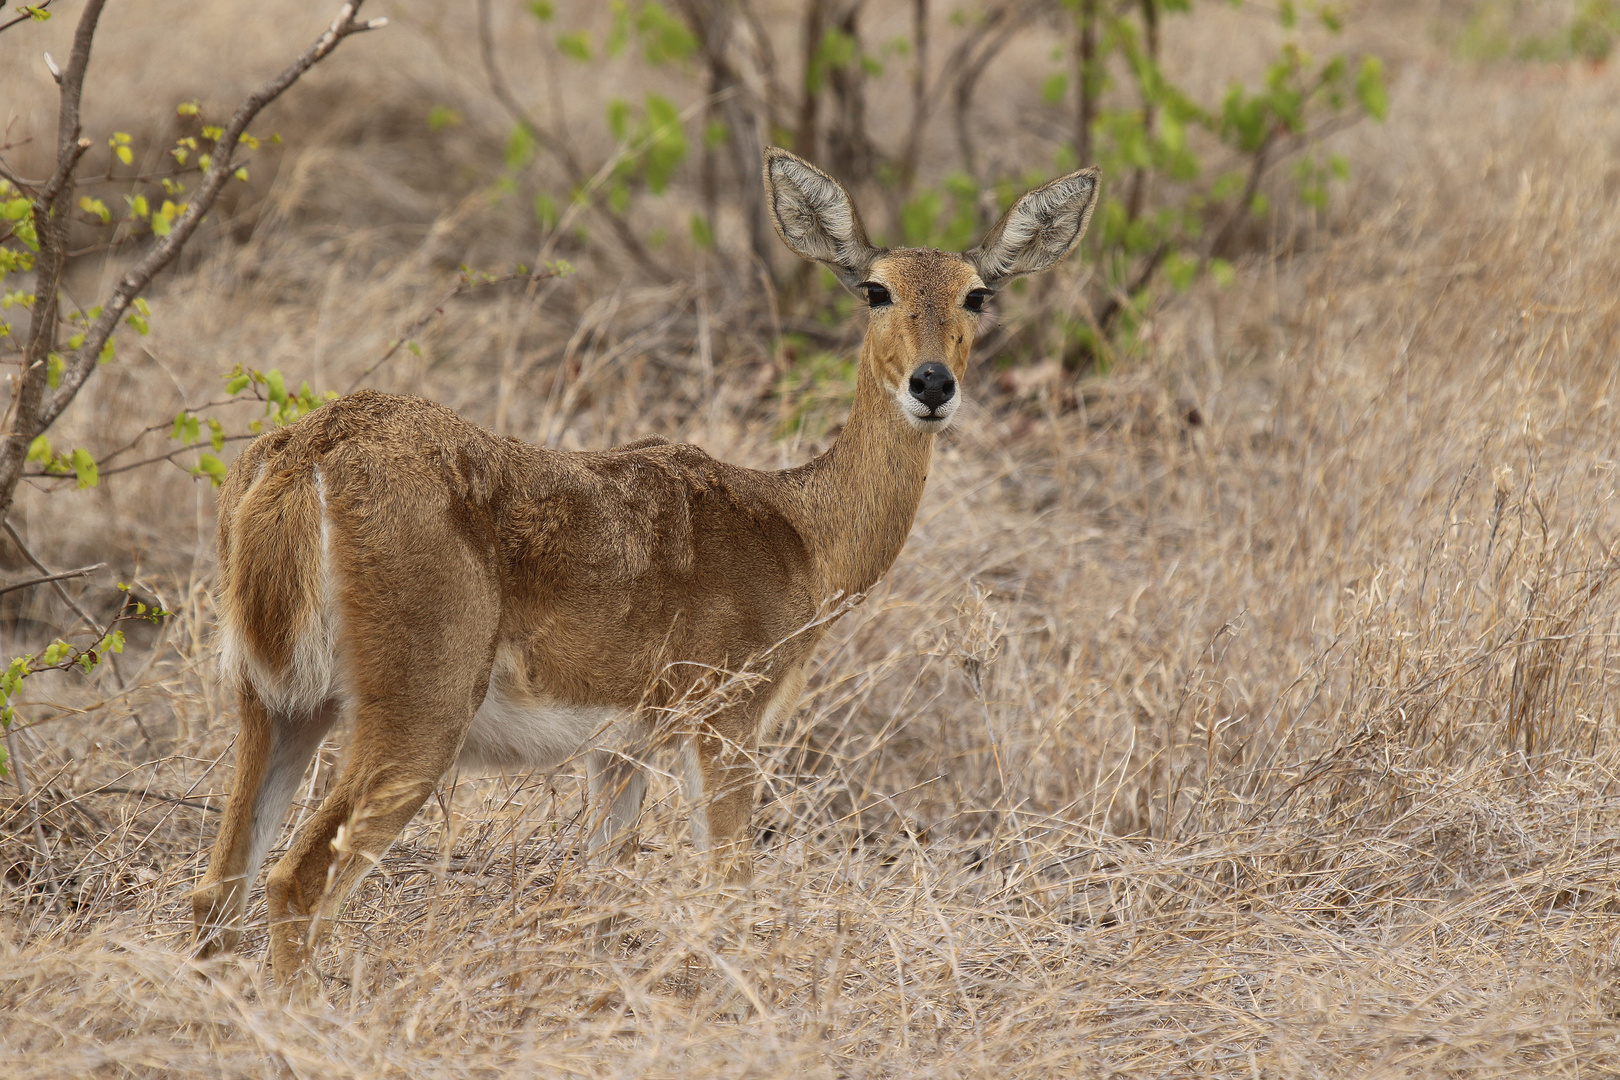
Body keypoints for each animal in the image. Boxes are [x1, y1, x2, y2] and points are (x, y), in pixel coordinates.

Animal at [189, 148, 1101, 990]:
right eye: (874, 289)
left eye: (978, 293)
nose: (932, 383)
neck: (805, 534)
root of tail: (302, 456)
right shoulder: (725, 716)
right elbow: (729, 882)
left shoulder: (619, 747)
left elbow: (604, 883)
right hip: (417, 707)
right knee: (295, 880)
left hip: (273, 702)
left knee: (217, 886)